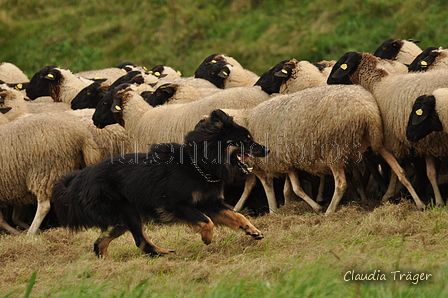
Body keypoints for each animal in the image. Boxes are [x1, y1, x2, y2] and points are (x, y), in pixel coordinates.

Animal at [52, 109, 270, 258]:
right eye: (246, 139)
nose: (267, 150)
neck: (199, 163)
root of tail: (80, 179)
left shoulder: (209, 202)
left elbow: (237, 215)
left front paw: (252, 230)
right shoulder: (175, 204)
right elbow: (206, 221)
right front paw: (206, 238)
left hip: (122, 219)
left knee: (101, 243)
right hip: (127, 211)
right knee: (140, 241)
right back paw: (163, 253)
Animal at [231, 84, 424, 214]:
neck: (250, 122)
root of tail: (367, 111)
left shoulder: (282, 161)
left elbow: (293, 188)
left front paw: (315, 207)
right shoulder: (289, 162)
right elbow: (290, 189)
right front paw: (290, 206)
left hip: (335, 149)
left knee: (341, 184)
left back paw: (330, 211)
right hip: (376, 141)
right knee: (400, 171)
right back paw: (419, 203)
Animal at [328, 51, 448, 206]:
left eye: (340, 64)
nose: (327, 83)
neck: (378, 84)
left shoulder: (393, 140)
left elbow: (397, 169)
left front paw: (389, 193)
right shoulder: (424, 142)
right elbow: (428, 172)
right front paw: (437, 200)